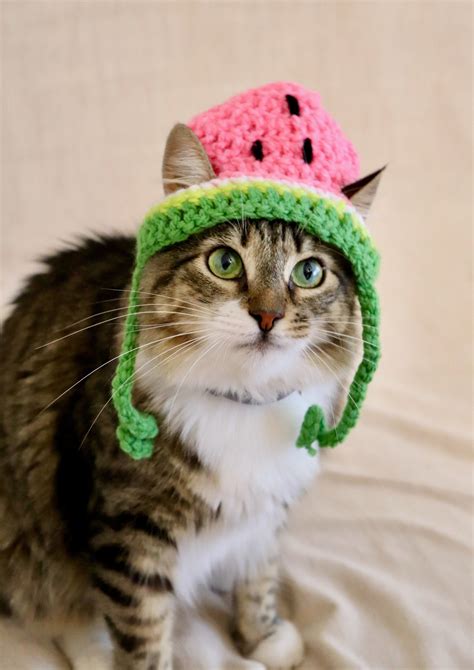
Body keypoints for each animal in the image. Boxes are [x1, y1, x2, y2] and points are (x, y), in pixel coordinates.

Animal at [0, 123, 380, 668]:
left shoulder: (267, 512)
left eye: (309, 273)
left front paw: (262, 636)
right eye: (225, 263)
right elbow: (141, 631)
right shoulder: (128, 530)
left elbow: (259, 575)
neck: (244, 400)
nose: (268, 316)